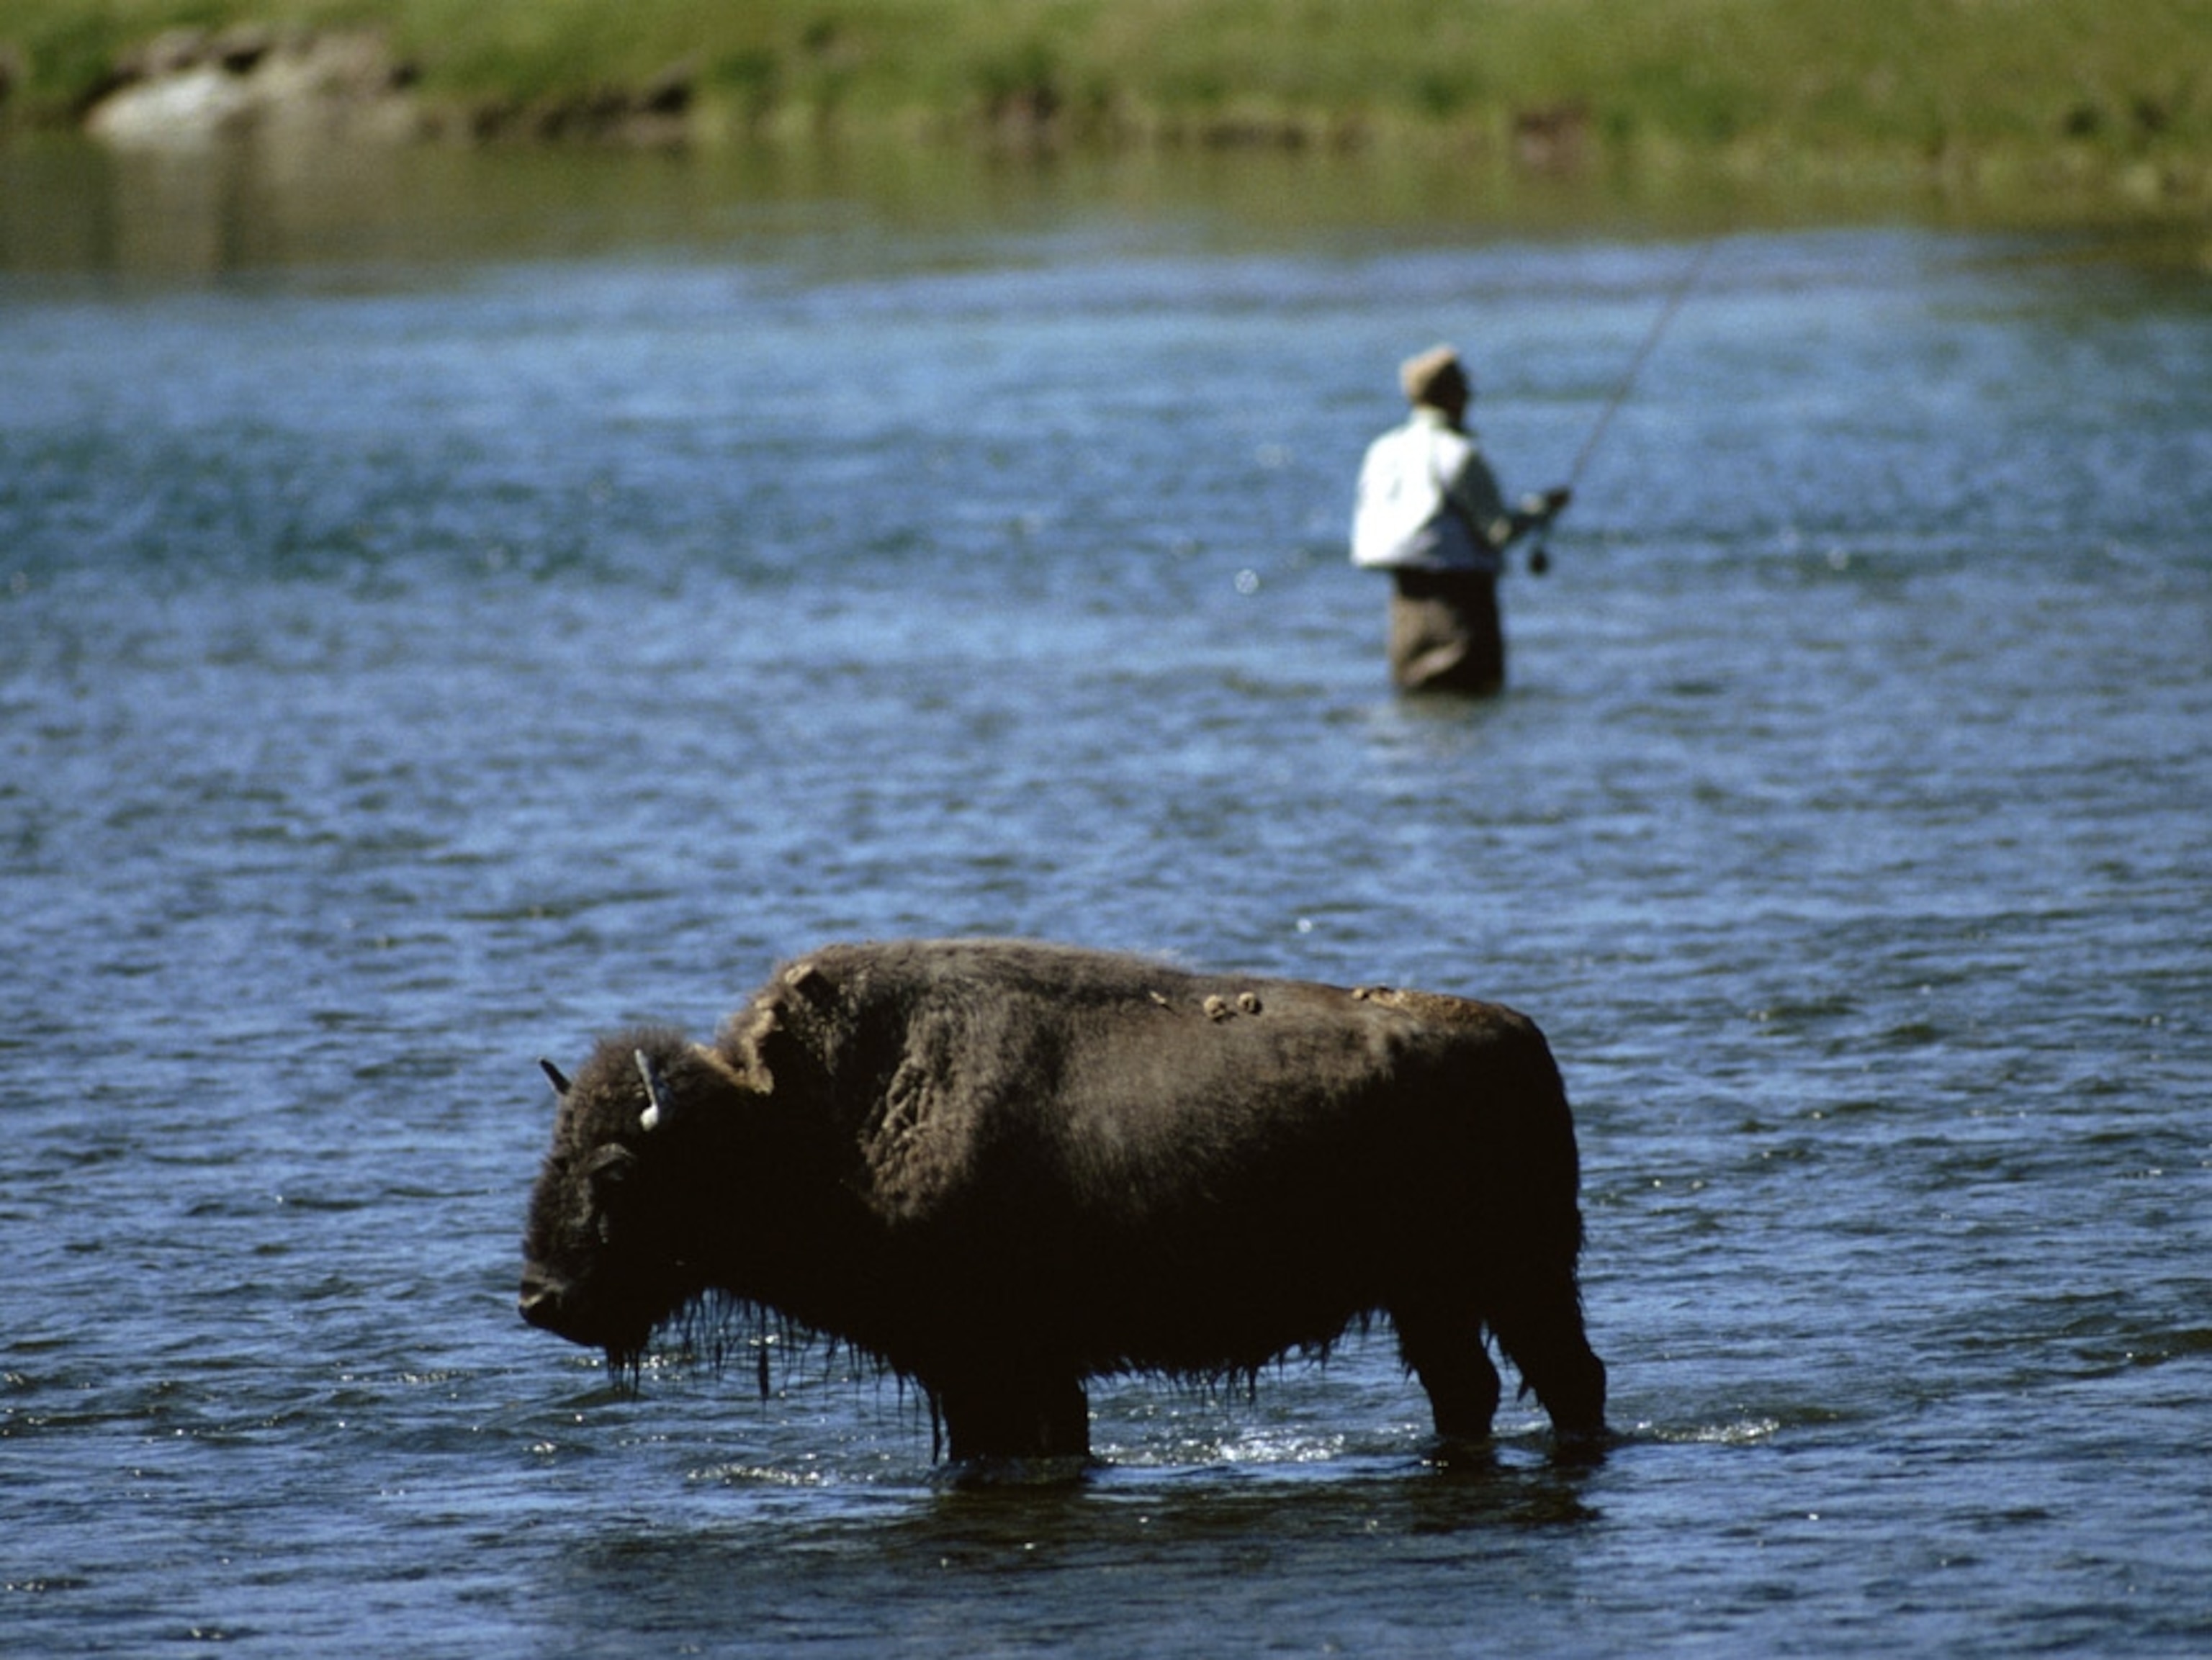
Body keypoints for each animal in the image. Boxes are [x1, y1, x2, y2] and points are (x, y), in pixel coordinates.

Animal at [519, 938, 1605, 1461]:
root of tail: (1521, 1035)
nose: (538, 1297)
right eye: (552, 1153)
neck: (800, 1121)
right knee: (1473, 1387)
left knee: (1567, 1379)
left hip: (1518, 1277)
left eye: (616, 1173)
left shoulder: (1002, 1363)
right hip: (1438, 1297)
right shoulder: (982, 1374)